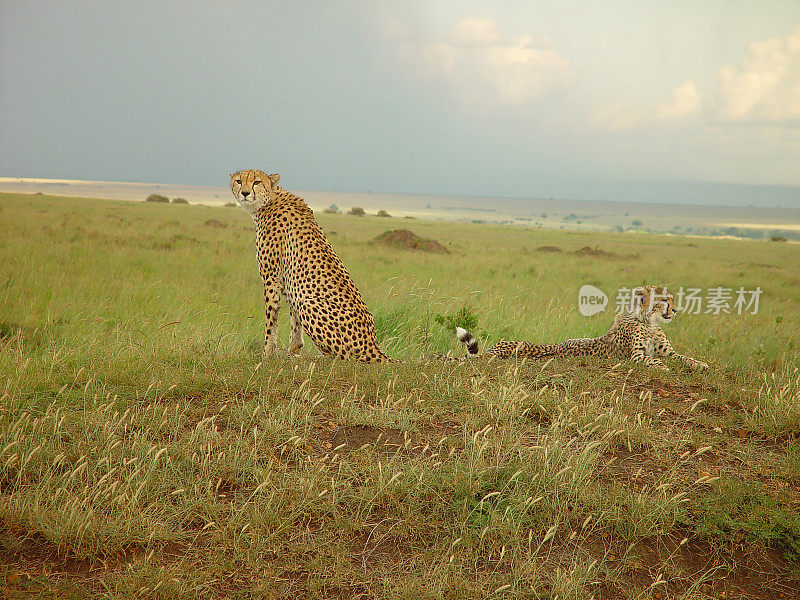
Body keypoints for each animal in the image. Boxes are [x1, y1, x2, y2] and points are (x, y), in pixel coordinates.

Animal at [228, 171, 390, 364]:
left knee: (343, 358)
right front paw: (293, 351)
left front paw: (267, 353)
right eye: (239, 181)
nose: (245, 193)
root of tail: (373, 346)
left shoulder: (272, 278)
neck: (270, 200)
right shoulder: (289, 284)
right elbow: (294, 321)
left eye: (257, 182)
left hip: (309, 303)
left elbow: (271, 319)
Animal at [454, 286, 708, 370]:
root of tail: (556, 346)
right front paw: (660, 366)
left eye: (671, 299)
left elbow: (684, 357)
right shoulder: (635, 356)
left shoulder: (669, 352)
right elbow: (650, 359)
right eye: (664, 300)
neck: (649, 321)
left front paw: (701, 364)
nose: (676, 310)